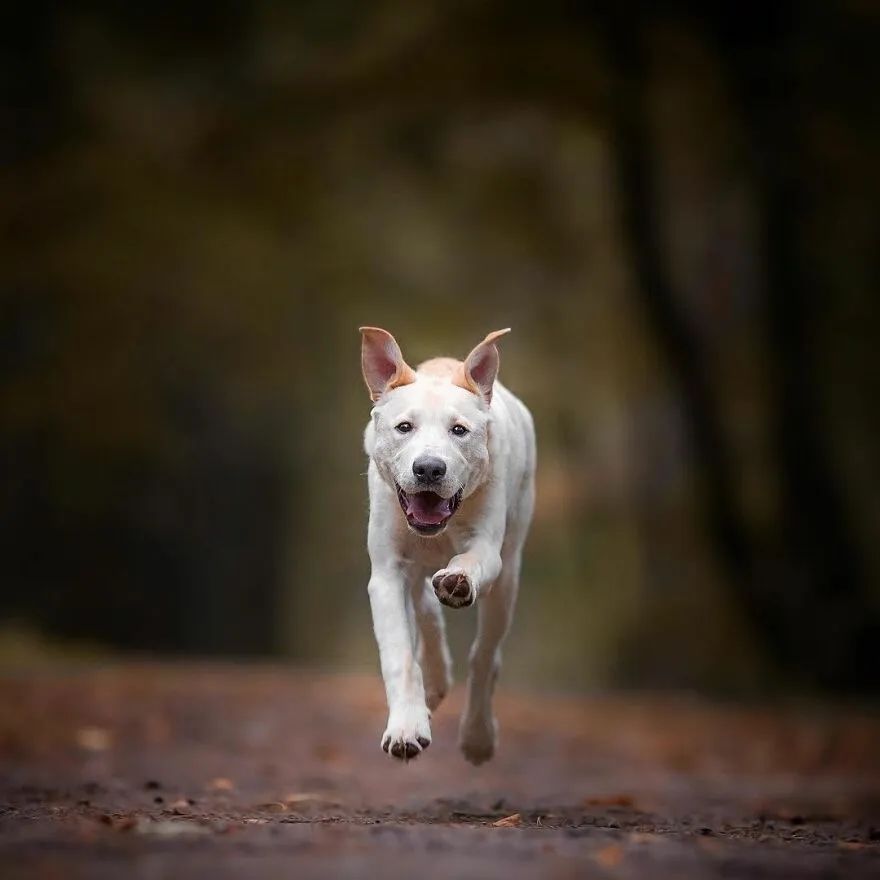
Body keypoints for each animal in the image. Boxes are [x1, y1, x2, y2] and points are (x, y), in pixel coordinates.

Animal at [360, 326, 536, 760]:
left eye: (459, 430)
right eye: (404, 427)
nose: (428, 468)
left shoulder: (488, 547)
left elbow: (473, 561)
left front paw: (458, 580)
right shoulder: (386, 572)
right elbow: (400, 655)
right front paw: (406, 729)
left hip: (508, 576)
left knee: (485, 654)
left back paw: (477, 735)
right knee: (424, 607)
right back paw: (435, 683)